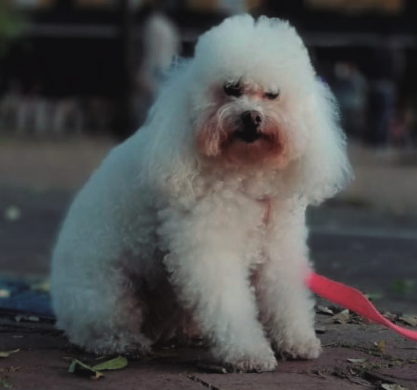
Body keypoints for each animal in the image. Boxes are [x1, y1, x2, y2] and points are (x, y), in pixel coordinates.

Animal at [51, 16, 352, 372]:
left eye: (273, 94)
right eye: (231, 88)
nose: (252, 116)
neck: (244, 173)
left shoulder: (279, 247)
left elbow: (286, 296)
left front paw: (297, 341)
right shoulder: (207, 248)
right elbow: (229, 305)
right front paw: (248, 352)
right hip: (106, 291)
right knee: (98, 328)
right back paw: (124, 342)